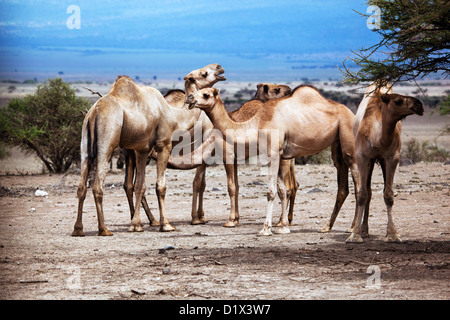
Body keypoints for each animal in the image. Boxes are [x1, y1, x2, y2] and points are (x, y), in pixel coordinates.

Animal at [185, 85, 358, 235]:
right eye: (198, 91)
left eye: (206, 94)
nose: (189, 98)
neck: (256, 124)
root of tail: (352, 113)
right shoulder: (279, 155)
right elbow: (282, 190)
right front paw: (283, 227)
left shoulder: (273, 153)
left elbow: (270, 191)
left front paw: (266, 228)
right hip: (337, 145)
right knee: (343, 187)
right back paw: (328, 227)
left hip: (349, 137)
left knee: (358, 183)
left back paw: (354, 229)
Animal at [346, 85, 424, 242]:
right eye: (398, 100)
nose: (419, 104)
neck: (376, 139)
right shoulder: (362, 157)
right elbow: (362, 194)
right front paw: (355, 234)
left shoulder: (391, 157)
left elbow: (388, 195)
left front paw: (392, 234)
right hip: (369, 162)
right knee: (368, 191)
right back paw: (364, 230)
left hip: (381, 161)